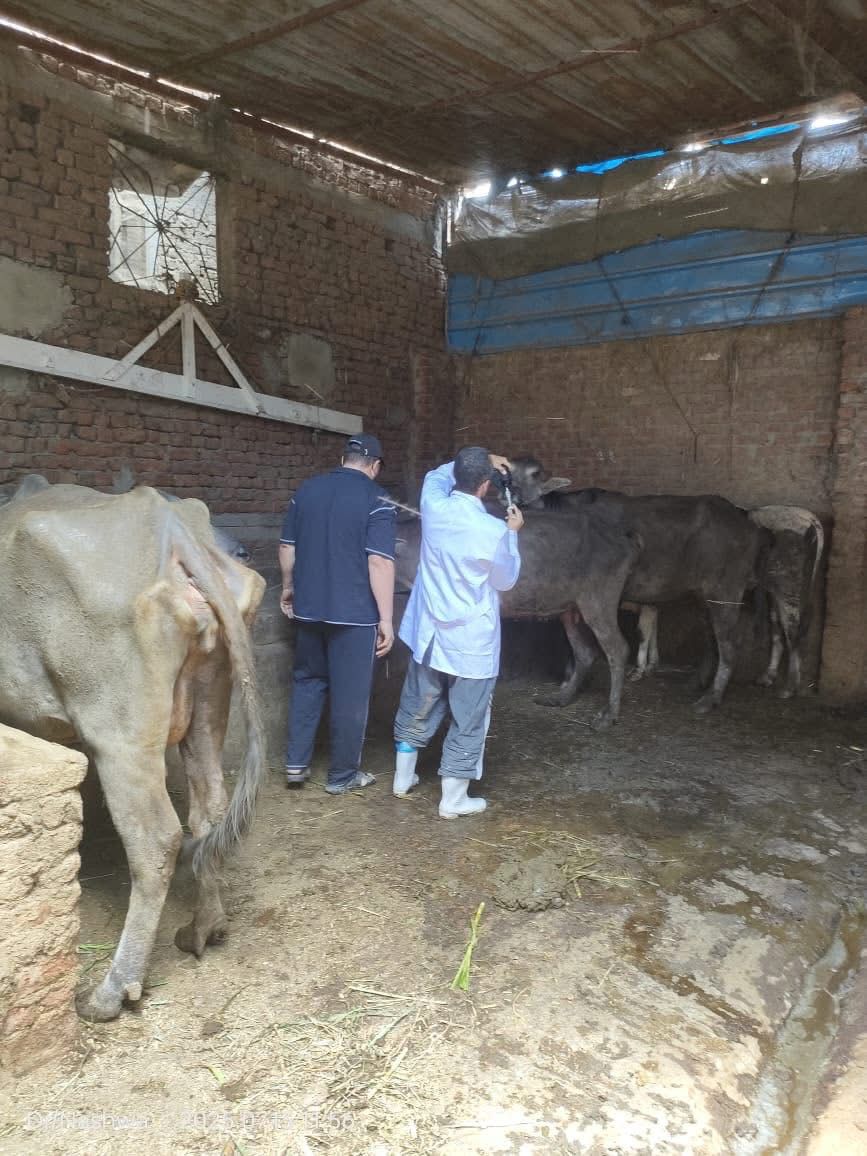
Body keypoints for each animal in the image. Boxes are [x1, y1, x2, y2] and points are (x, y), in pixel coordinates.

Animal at [0, 477, 266, 1021]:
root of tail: (173, 527)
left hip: (121, 731)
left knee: (156, 838)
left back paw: (111, 990)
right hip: (209, 701)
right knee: (208, 811)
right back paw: (204, 929)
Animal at [394, 506, 642, 729]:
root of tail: (624, 539)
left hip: (599, 599)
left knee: (618, 649)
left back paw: (608, 715)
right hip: (570, 607)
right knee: (585, 652)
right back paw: (561, 698)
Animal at [508, 457, 770, 712]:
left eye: (533, 477)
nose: (515, 499)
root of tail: (748, 522)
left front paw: (569, 680)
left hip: (727, 590)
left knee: (728, 643)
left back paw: (711, 698)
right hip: (704, 593)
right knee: (711, 637)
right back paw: (697, 682)